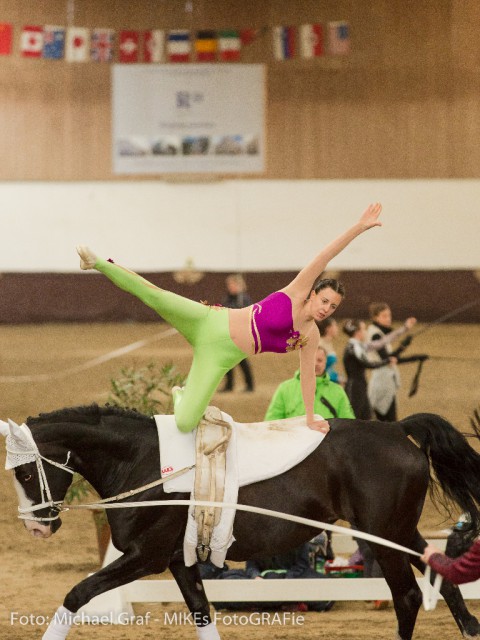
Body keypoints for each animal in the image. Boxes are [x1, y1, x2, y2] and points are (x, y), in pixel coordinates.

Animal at [4, 408, 480, 636]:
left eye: (25, 473)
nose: (36, 527)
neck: (143, 461)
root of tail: (396, 429)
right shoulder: (179, 561)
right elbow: (201, 613)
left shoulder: (145, 557)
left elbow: (76, 594)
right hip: (400, 533)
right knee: (445, 579)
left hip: (382, 536)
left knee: (408, 598)